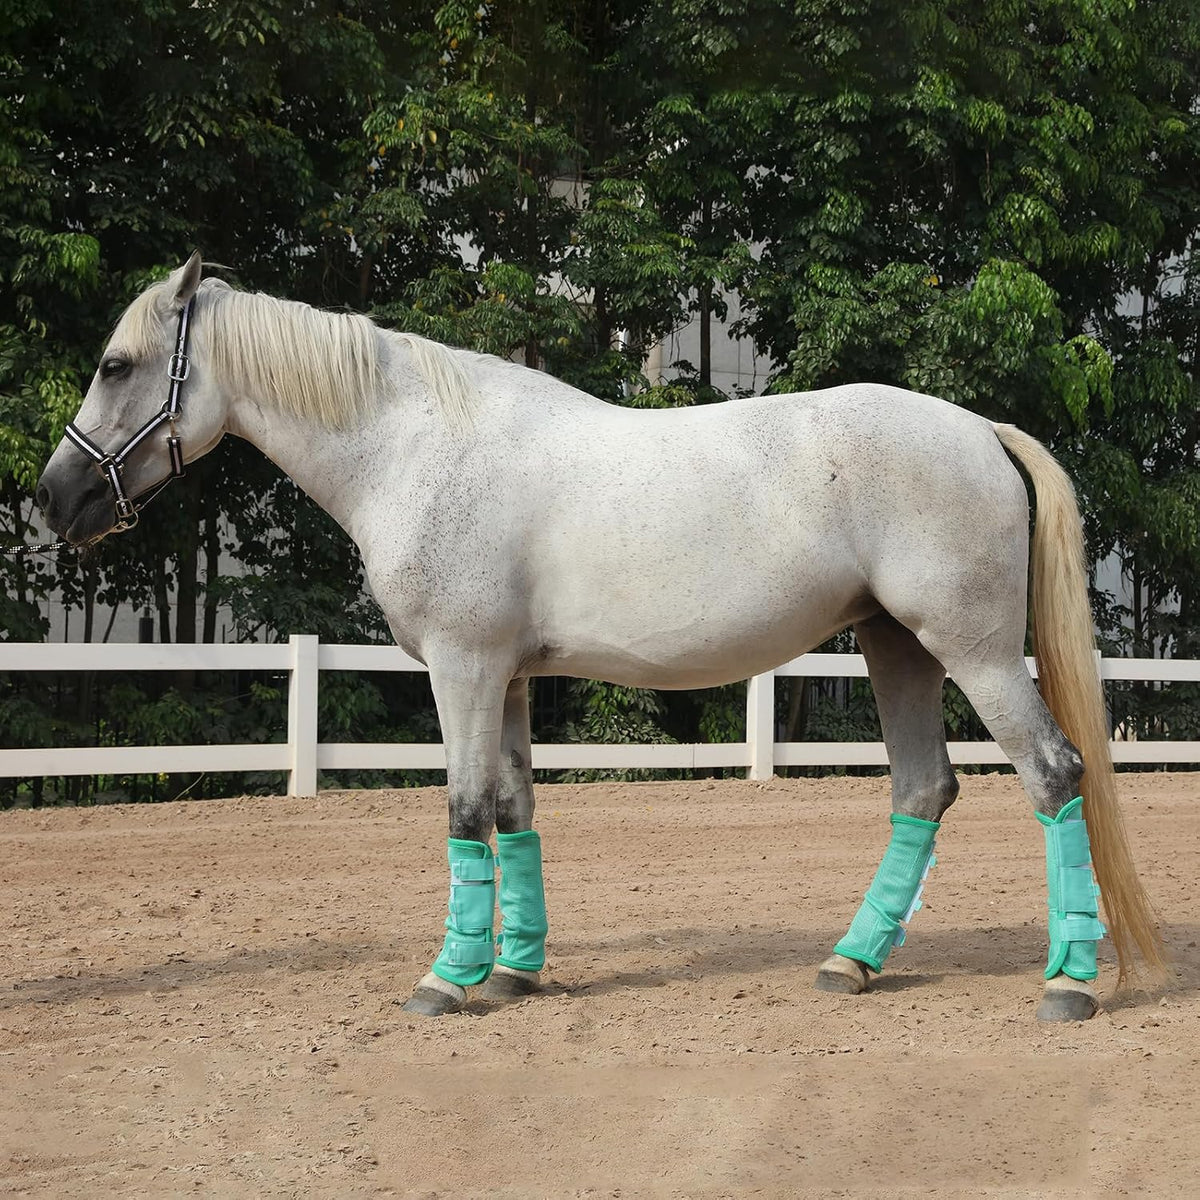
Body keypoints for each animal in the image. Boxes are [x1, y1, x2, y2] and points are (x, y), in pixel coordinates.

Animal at [36, 253, 1166, 1022]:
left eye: (116, 364)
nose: (55, 497)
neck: (414, 447)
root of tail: (980, 429)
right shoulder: (508, 679)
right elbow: (513, 809)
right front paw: (512, 970)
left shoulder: (463, 670)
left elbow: (462, 811)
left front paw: (446, 981)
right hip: (897, 649)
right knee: (924, 790)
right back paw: (851, 961)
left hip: (973, 654)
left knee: (1053, 775)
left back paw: (1068, 985)